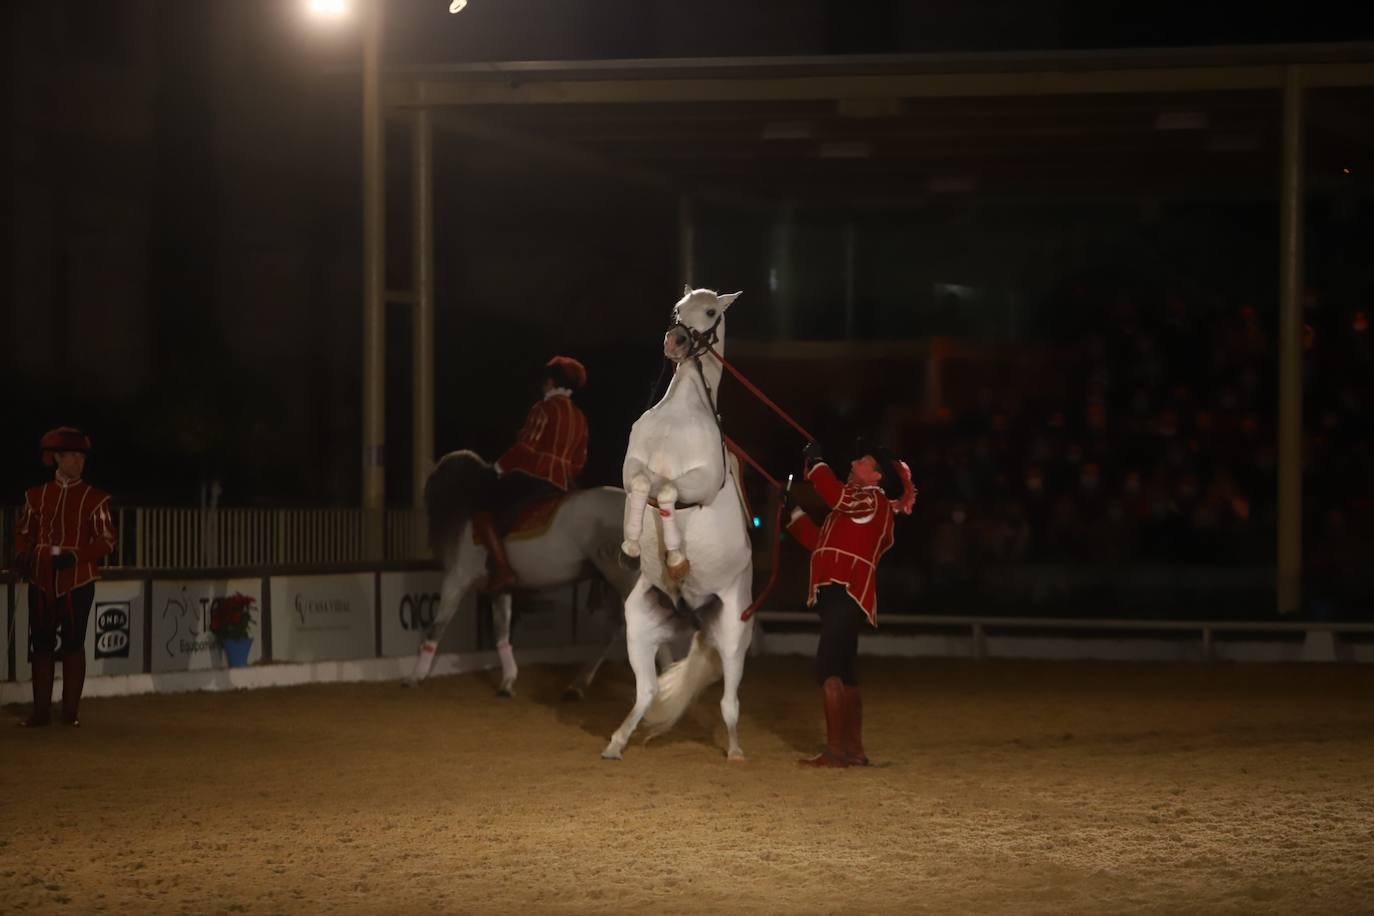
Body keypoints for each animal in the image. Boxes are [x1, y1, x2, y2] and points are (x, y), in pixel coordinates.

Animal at [601, 287, 752, 758]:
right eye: (676, 310)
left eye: (710, 311)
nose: (676, 342)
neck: (683, 409)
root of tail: (693, 614)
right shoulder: (632, 467)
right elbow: (641, 487)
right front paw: (633, 548)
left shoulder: (702, 482)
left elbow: (667, 492)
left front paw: (677, 559)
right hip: (639, 626)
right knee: (646, 692)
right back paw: (616, 743)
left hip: (734, 636)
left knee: (729, 702)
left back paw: (736, 752)